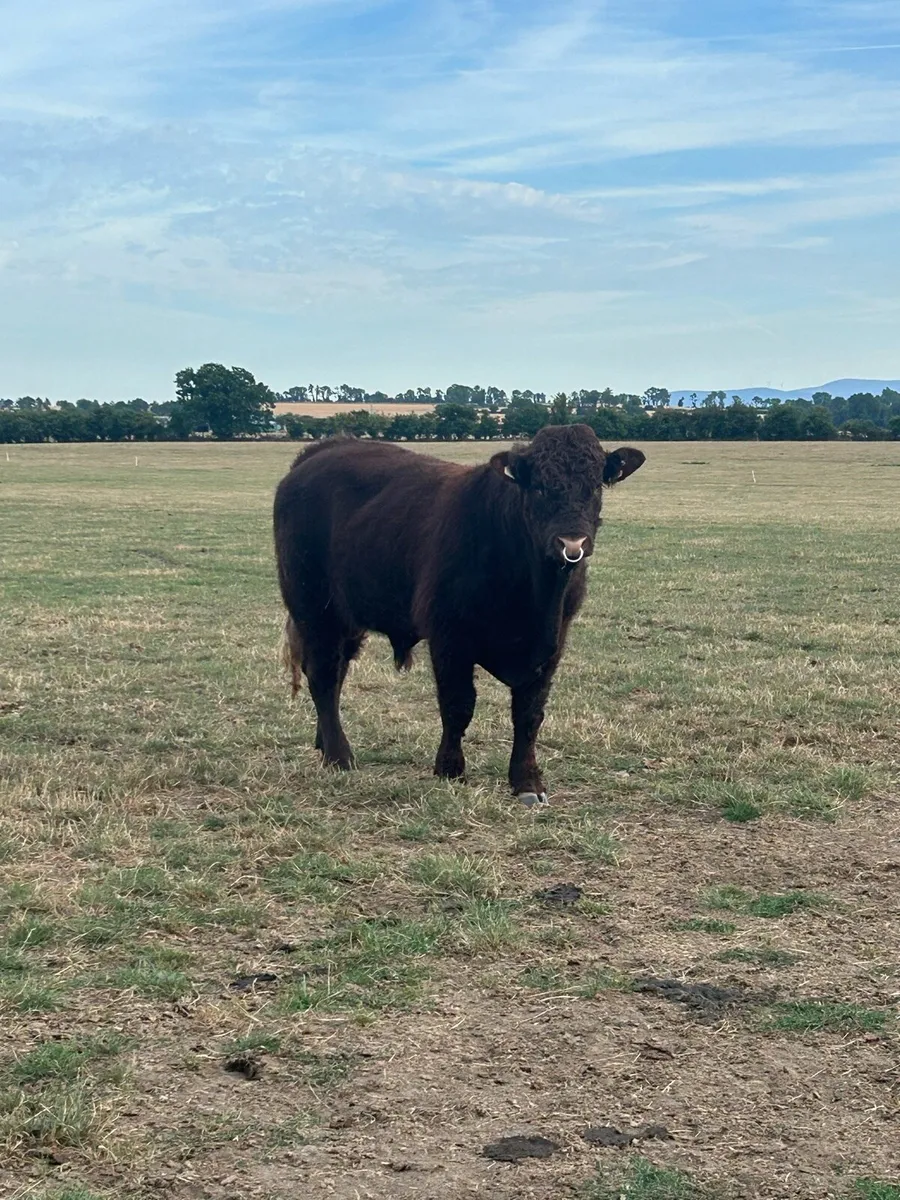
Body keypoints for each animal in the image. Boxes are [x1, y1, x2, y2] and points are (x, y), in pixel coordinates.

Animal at [273, 424, 644, 805]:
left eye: (595, 486)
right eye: (539, 486)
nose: (572, 544)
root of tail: (321, 451)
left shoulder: (553, 643)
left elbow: (529, 714)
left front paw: (527, 781)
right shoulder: (449, 637)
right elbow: (458, 704)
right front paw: (450, 769)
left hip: (346, 619)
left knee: (336, 673)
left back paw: (324, 743)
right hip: (313, 608)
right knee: (323, 675)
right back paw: (339, 756)